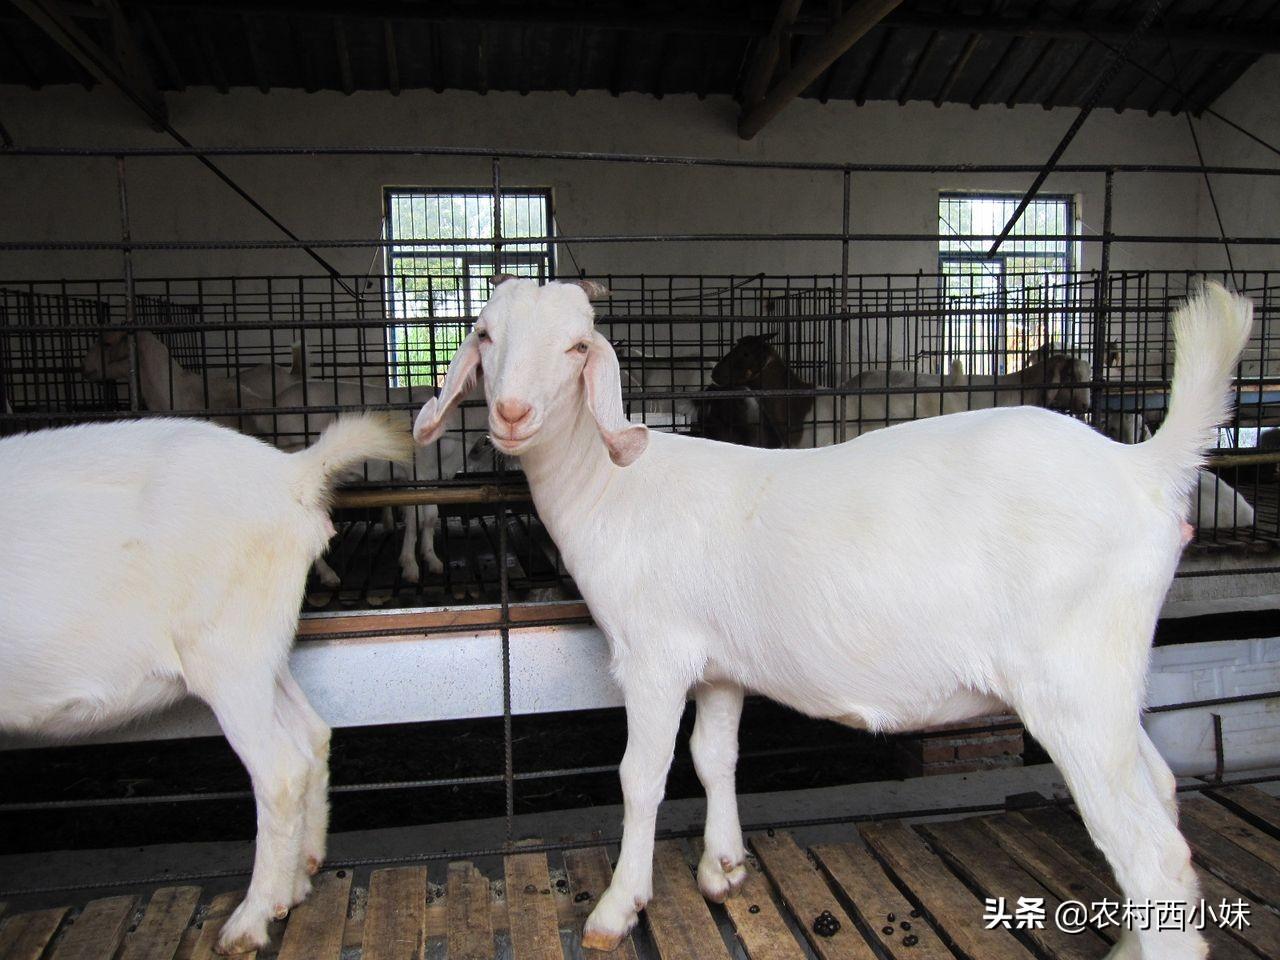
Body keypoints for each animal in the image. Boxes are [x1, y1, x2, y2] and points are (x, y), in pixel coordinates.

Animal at [0, 414, 407, 957]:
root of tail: (290, 474)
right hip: (263, 651)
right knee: (311, 733)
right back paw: (297, 880)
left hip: (225, 653)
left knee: (280, 770)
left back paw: (249, 921)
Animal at [414, 277, 1254, 960]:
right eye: (485, 335)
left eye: (577, 345)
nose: (512, 412)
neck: (615, 487)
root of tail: (1143, 469)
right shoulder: (720, 665)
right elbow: (714, 756)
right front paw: (723, 867)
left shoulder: (654, 656)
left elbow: (641, 776)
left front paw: (618, 909)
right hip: (1107, 683)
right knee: (1161, 793)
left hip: (1072, 686)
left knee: (1149, 853)